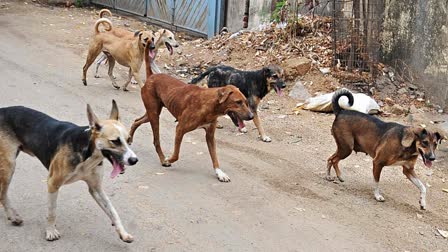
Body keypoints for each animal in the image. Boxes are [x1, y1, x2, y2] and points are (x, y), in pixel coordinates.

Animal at [0, 100, 138, 242]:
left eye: (129, 140)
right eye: (115, 141)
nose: (134, 160)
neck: (88, 154)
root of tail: (2, 109)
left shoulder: (96, 188)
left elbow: (113, 211)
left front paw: (123, 232)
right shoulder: (53, 183)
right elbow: (52, 211)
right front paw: (50, 231)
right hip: (9, 166)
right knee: (2, 194)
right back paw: (13, 216)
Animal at [128, 42, 254, 182]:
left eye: (246, 102)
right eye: (238, 102)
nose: (251, 116)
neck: (210, 105)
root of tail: (152, 76)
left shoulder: (210, 135)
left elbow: (215, 157)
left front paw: (219, 173)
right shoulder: (180, 128)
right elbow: (176, 154)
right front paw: (168, 159)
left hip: (151, 113)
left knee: (136, 121)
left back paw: (129, 138)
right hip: (154, 115)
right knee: (156, 141)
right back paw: (162, 159)